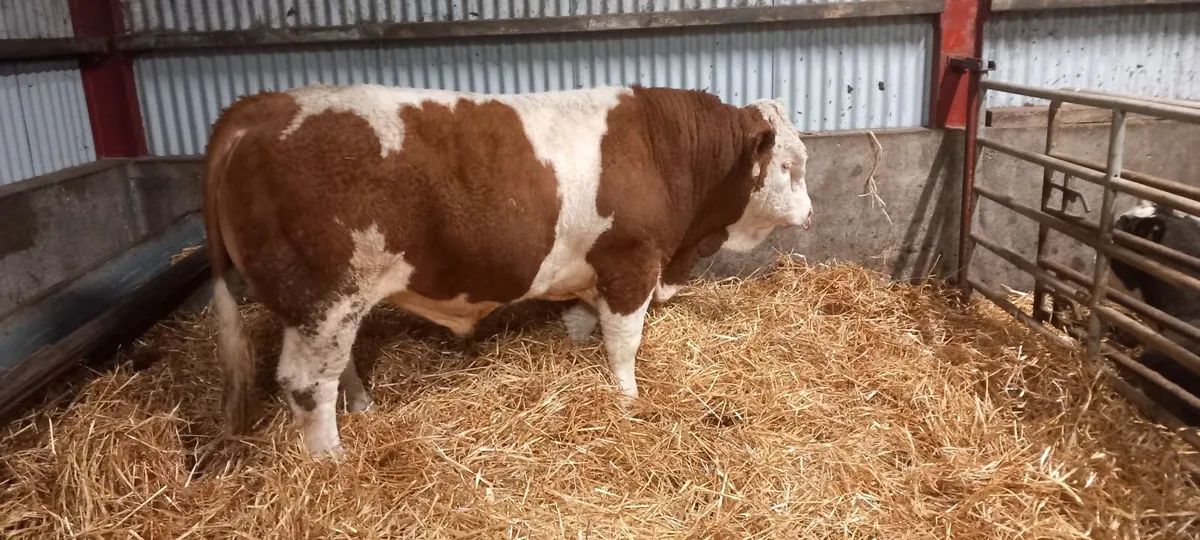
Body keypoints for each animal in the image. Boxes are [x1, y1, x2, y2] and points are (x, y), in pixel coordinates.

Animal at [203, 83, 814, 458]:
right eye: (791, 166)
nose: (810, 213)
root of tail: (258, 108)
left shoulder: (591, 271)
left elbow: (583, 324)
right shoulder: (632, 262)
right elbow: (624, 342)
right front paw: (628, 399)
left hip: (340, 304)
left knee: (336, 366)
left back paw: (362, 408)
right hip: (323, 298)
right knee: (305, 383)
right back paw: (332, 460)